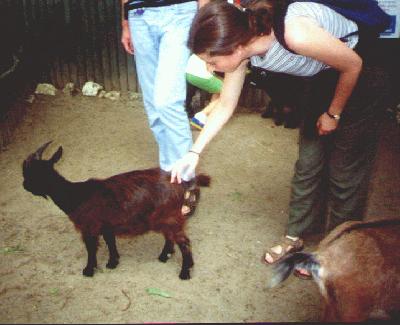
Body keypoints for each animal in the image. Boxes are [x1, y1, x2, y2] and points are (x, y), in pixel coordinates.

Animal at [22, 141, 211, 278]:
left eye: (31, 173)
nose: (24, 186)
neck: (75, 195)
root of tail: (182, 183)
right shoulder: (107, 225)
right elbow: (110, 242)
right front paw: (113, 262)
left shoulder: (89, 228)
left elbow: (91, 249)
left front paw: (89, 270)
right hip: (163, 220)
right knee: (170, 236)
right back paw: (164, 256)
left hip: (170, 218)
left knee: (184, 243)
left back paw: (185, 272)